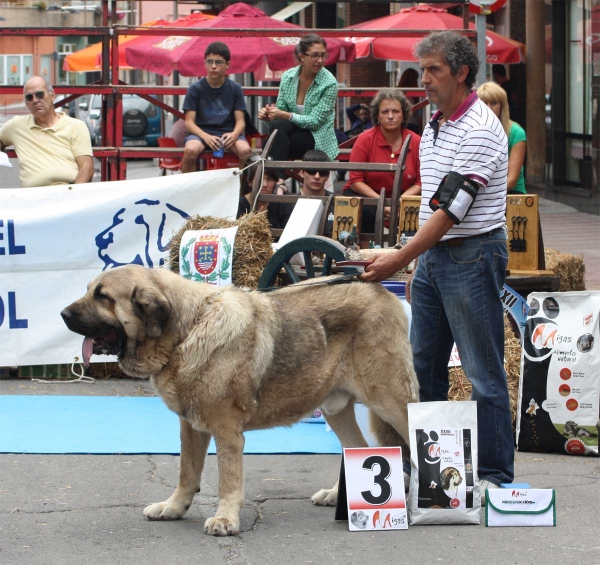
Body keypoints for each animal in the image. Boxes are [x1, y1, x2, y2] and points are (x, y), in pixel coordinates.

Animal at [61, 266, 418, 536]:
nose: (63, 313)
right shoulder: (191, 427)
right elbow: (187, 473)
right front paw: (173, 508)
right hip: (335, 408)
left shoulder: (227, 431)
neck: (185, 331)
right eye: (90, 290)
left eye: (103, 296)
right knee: (357, 447)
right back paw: (337, 495)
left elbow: (227, 479)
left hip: (390, 400)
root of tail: (382, 290)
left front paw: (225, 519)